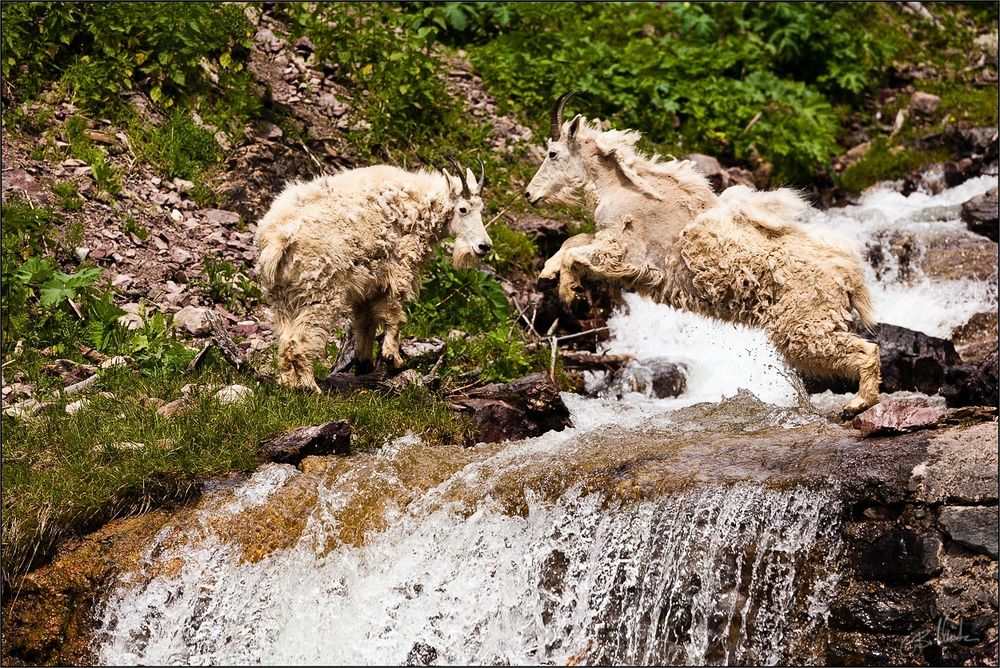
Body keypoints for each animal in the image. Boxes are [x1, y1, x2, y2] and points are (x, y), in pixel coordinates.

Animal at [254, 160, 492, 392]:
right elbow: (395, 314)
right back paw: (310, 387)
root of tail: (278, 238)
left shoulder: (367, 285)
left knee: (285, 341)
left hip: (281, 296)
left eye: (481, 209)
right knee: (301, 339)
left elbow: (365, 323)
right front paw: (394, 361)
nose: (484, 246)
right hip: (320, 291)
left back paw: (289, 384)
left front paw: (364, 365)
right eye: (463, 209)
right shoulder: (400, 269)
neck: (421, 206)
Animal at [528, 91, 880, 414]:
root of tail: (848, 276)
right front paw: (547, 276)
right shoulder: (608, 241)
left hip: (804, 325)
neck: (620, 188)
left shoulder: (627, 258)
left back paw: (858, 403)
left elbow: (575, 252)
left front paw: (569, 292)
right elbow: (571, 242)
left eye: (553, 153)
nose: (530, 194)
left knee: (866, 350)